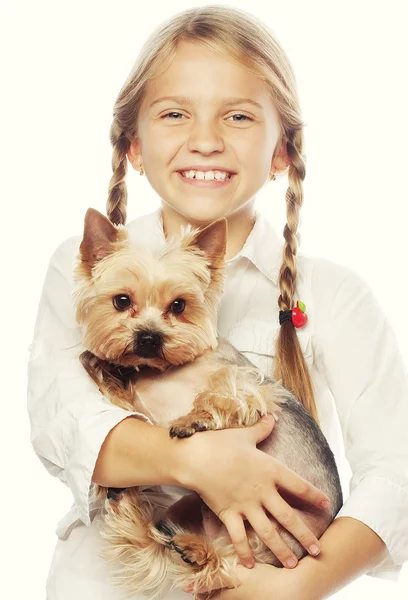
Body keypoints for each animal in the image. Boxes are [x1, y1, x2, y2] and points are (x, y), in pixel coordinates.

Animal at [72, 207, 342, 600]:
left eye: (179, 305)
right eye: (121, 301)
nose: (149, 338)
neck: (165, 370)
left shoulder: (252, 386)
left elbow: (219, 391)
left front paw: (192, 419)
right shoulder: (141, 406)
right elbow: (122, 398)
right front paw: (102, 365)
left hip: (269, 540)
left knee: (223, 569)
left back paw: (194, 551)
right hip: (192, 506)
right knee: (160, 545)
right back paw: (145, 517)